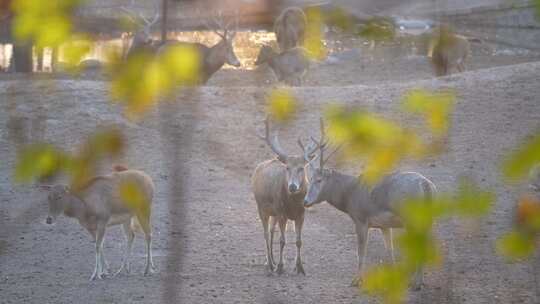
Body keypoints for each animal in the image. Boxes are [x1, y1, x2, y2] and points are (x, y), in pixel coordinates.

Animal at [251, 116, 318, 276]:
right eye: (287, 167)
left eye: (301, 168)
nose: (292, 186)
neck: (293, 204)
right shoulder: (282, 213)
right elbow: (282, 240)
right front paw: (281, 267)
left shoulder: (301, 214)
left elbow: (299, 241)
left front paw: (299, 267)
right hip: (261, 208)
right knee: (265, 233)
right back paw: (270, 264)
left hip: (273, 212)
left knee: (271, 230)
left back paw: (272, 261)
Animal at [304, 119, 438, 290]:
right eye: (309, 178)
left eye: (319, 180)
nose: (305, 201)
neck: (350, 194)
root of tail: (426, 186)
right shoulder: (384, 225)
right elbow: (389, 251)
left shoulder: (360, 218)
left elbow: (361, 251)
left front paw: (356, 280)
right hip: (427, 219)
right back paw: (419, 281)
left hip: (411, 218)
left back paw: (416, 283)